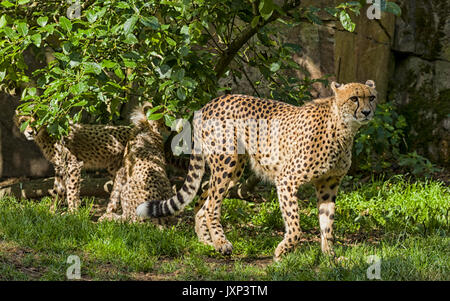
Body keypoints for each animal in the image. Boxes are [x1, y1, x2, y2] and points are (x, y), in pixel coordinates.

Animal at [136, 81, 376, 258]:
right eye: (354, 98)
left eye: (371, 97)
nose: (366, 112)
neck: (343, 129)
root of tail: (212, 101)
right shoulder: (286, 179)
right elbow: (295, 226)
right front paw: (282, 251)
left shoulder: (328, 185)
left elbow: (327, 224)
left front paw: (330, 257)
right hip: (226, 163)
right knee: (211, 205)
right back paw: (222, 243)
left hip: (233, 170)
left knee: (204, 194)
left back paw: (207, 241)